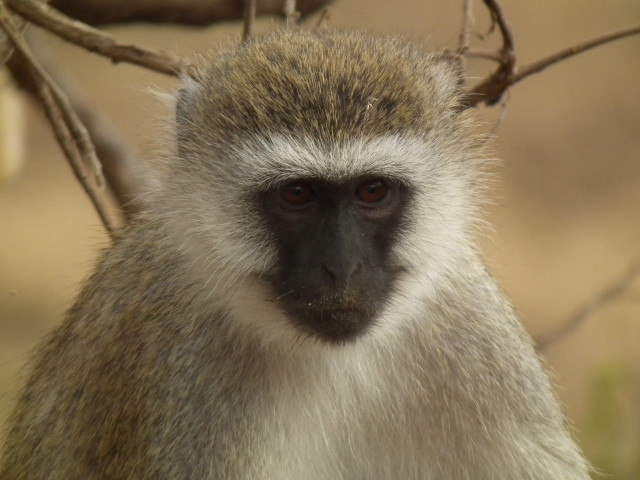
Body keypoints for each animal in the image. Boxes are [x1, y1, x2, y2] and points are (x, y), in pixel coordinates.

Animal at [0, 29, 591, 479]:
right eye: (298, 194)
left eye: (372, 191)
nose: (341, 267)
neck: (335, 363)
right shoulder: (175, 372)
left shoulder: (477, 333)